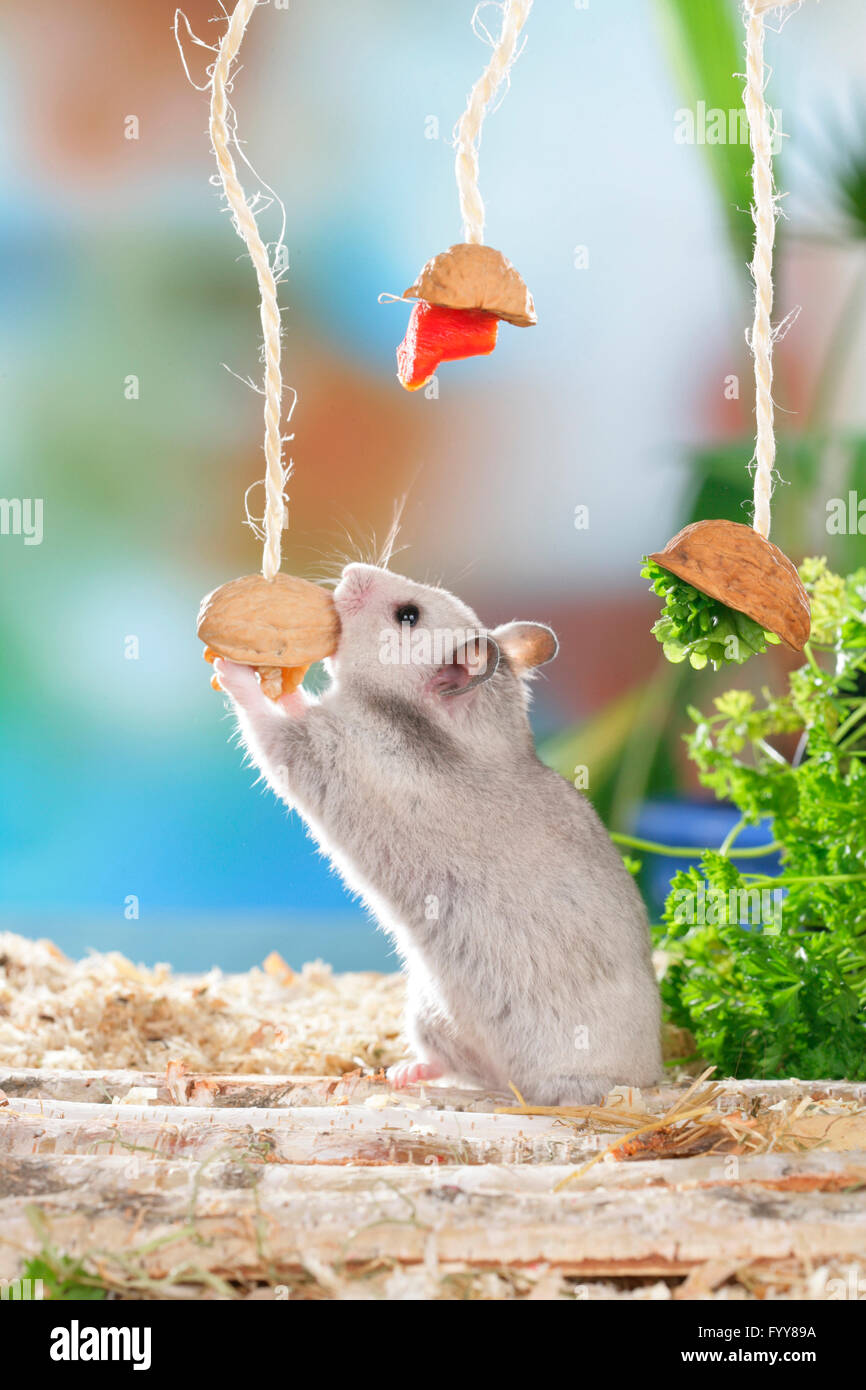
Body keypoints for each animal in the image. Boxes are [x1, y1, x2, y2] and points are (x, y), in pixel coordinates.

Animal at [213, 562, 662, 1105]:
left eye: (408, 615)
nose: (350, 571)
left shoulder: (319, 751)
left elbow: (267, 722)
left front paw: (232, 668)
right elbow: (296, 701)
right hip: (429, 1012)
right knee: (454, 1064)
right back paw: (403, 1073)